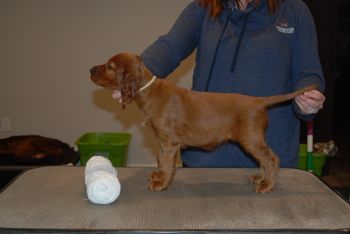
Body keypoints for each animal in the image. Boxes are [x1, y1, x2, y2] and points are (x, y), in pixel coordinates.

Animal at [89, 53, 314, 194]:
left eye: (110, 66)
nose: (90, 69)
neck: (149, 91)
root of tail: (259, 101)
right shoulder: (163, 141)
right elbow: (161, 160)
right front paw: (158, 176)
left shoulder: (169, 142)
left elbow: (166, 162)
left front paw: (161, 183)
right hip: (252, 140)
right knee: (263, 160)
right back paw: (260, 178)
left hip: (250, 138)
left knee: (272, 158)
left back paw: (267, 185)